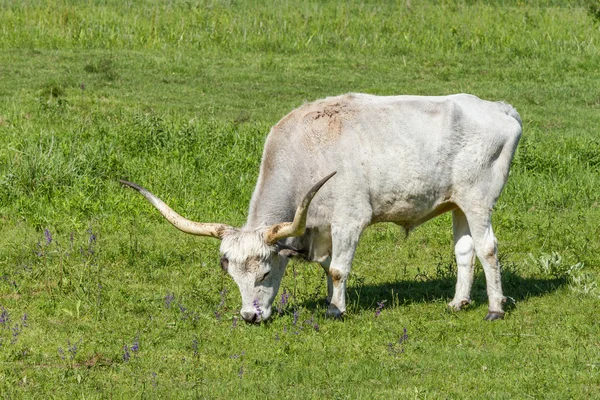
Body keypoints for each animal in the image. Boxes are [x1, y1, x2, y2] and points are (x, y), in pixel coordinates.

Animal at [120, 93, 520, 322]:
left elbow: (340, 269)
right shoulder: (321, 228)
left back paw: (495, 308)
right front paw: (332, 299)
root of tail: (501, 109)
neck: (307, 153)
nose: (250, 316)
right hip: (457, 203)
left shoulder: (349, 220)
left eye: (266, 273)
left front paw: (334, 310)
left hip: (478, 199)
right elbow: (328, 267)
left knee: (487, 248)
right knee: (465, 250)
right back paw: (458, 303)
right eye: (233, 276)